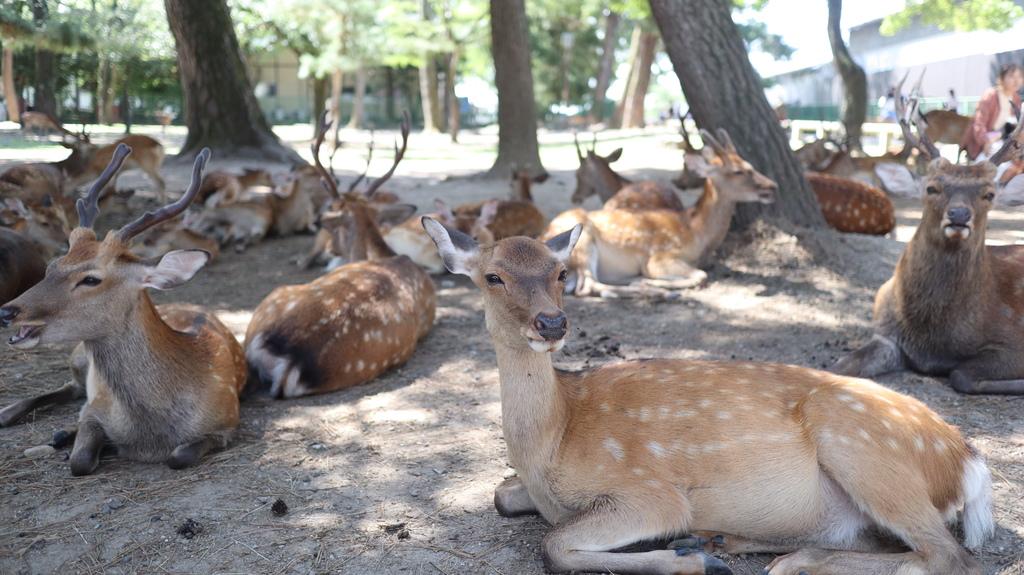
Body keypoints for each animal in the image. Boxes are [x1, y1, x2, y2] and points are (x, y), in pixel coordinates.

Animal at [0, 145, 249, 472]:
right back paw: (13, 414)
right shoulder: (98, 407)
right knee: (70, 387)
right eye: (51, 267)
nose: (7, 311)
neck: (151, 432)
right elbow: (80, 461)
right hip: (77, 356)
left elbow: (178, 457)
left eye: (91, 279)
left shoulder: (228, 422)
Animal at [421, 214, 991, 572]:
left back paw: (773, 560)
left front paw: (693, 563)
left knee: (951, 557)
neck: (552, 440)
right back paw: (723, 540)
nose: (552, 322)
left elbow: (553, 545)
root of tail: (967, 460)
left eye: (561, 272)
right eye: (492, 276)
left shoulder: (649, 491)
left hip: (864, 447)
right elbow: (500, 496)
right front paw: (697, 552)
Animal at [540, 127, 770, 296]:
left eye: (750, 164)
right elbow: (701, 276)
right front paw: (655, 282)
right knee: (589, 287)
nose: (771, 186)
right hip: (583, 243)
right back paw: (651, 290)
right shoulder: (659, 257)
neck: (697, 234)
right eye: (738, 171)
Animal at [831, 72, 1024, 392]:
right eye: (932, 188)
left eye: (988, 194)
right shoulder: (884, 334)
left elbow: (961, 375)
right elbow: (839, 366)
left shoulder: (1012, 341)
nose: (959, 215)